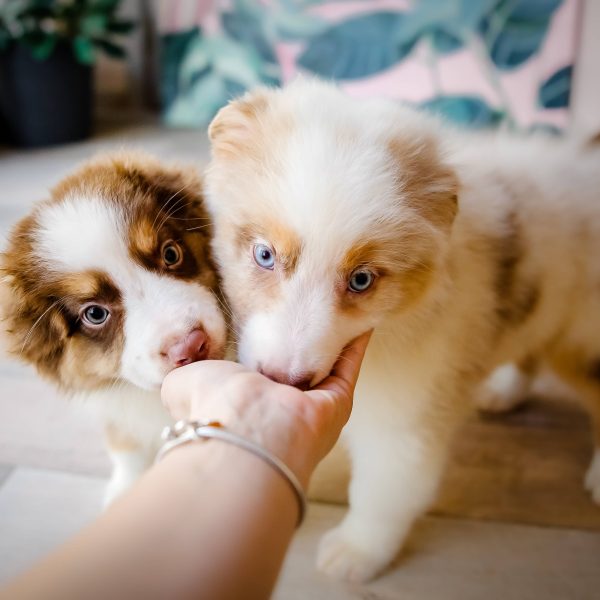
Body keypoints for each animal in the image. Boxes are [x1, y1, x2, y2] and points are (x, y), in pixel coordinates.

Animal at [204, 79, 600, 580]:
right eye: (264, 255)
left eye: (361, 280)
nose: (286, 381)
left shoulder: (407, 410)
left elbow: (383, 490)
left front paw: (357, 552)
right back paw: (504, 391)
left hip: (584, 336)